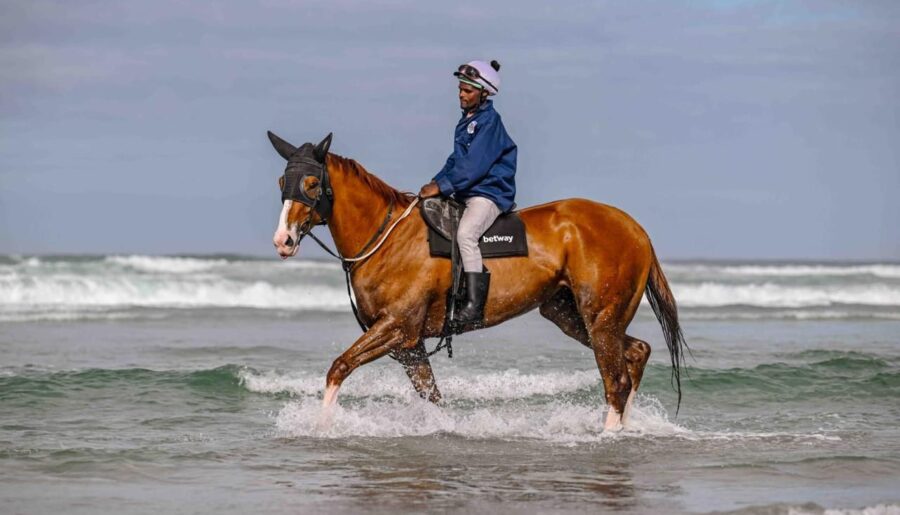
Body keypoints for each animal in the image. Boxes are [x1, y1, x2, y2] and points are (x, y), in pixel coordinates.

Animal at [268, 131, 687, 431]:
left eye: (311, 183)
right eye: (281, 181)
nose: (283, 240)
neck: (386, 236)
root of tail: (634, 228)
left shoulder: (397, 328)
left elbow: (338, 367)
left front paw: (321, 427)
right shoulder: (410, 346)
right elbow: (433, 397)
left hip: (600, 320)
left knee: (616, 381)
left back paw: (608, 437)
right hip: (573, 316)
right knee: (636, 353)